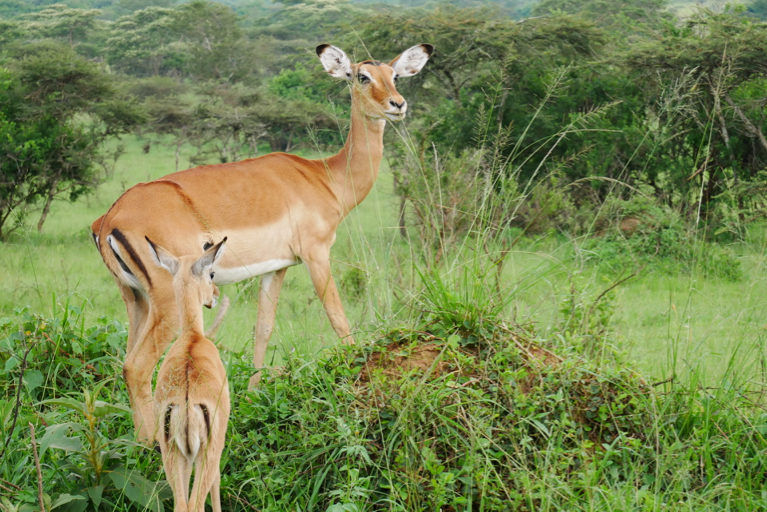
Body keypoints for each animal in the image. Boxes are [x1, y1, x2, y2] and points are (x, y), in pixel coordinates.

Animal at [90, 42, 432, 440]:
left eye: (394, 75)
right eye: (361, 76)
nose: (397, 104)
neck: (325, 178)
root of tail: (110, 218)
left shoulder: (277, 267)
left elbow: (263, 329)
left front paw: (253, 398)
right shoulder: (316, 255)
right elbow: (339, 319)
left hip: (136, 301)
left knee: (126, 360)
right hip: (168, 302)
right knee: (137, 366)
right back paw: (150, 444)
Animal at [148, 239, 230, 512]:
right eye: (211, 273)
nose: (214, 295)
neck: (193, 337)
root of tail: (185, 400)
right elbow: (217, 482)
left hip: (173, 453)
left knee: (181, 504)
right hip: (205, 453)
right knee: (195, 501)